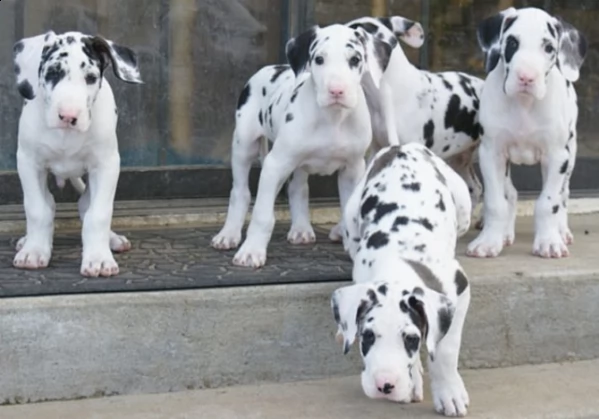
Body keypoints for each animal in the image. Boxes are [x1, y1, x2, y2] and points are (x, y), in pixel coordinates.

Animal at [12, 31, 144, 278]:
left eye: (91, 77)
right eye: (53, 73)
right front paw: (33, 251)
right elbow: (37, 210)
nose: (68, 115)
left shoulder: (106, 166)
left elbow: (98, 214)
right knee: (50, 203)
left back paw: (112, 239)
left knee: (85, 205)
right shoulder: (28, 163)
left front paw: (98, 258)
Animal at [211, 23, 394, 268]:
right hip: (244, 146)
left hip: (296, 164)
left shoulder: (353, 170)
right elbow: (262, 214)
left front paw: (355, 251)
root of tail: (272, 67)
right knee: (240, 192)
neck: (333, 119)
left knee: (297, 188)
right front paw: (251, 251)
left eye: (355, 59)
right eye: (319, 59)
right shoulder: (275, 164)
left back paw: (300, 228)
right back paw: (229, 234)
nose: (337, 91)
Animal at [332, 143, 474, 418]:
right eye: (367, 336)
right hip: (351, 220)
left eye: (411, 339)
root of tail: (401, 146)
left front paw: (449, 392)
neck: (396, 260)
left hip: (464, 206)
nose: (384, 385)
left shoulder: (460, 291)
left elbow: (445, 349)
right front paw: (415, 377)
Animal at [466, 7, 588, 260]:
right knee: (510, 193)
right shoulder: (491, 154)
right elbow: (496, 202)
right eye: (512, 43)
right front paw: (489, 241)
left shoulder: (557, 157)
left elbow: (548, 203)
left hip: (570, 157)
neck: (524, 106)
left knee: (564, 195)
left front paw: (549, 242)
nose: (526, 77)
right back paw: (505, 233)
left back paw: (562, 231)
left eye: (549, 48)